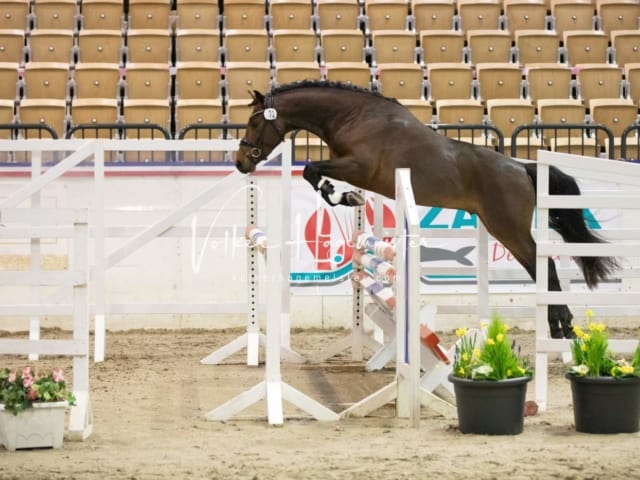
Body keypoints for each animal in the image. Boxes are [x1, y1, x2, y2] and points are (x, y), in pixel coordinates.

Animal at [235, 80, 620, 340]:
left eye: (254, 122)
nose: (240, 162)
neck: (355, 117)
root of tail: (520, 168)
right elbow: (311, 171)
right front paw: (344, 197)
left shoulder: (358, 167)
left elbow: (312, 170)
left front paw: (342, 196)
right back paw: (561, 326)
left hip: (509, 229)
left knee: (545, 267)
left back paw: (561, 327)